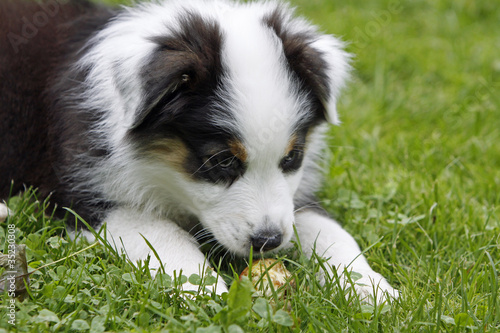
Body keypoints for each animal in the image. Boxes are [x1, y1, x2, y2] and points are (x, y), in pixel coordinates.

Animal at [0, 0, 398, 300]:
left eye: (292, 157)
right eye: (221, 160)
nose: (268, 241)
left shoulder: (294, 198)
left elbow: (332, 231)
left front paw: (373, 290)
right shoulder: (84, 194)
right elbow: (163, 233)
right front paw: (208, 291)